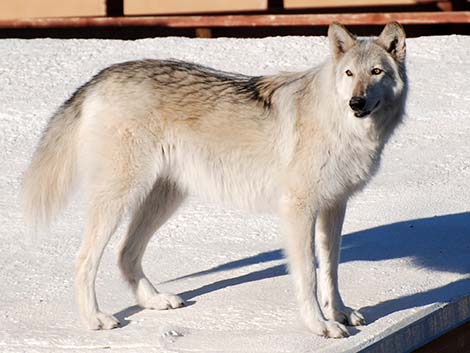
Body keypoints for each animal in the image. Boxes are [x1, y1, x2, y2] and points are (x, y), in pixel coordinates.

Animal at [23, 21, 408, 336]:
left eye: (376, 72)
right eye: (349, 73)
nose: (356, 103)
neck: (339, 124)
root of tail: (102, 76)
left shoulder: (334, 206)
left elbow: (330, 269)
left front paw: (339, 313)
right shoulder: (298, 210)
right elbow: (309, 275)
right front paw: (320, 326)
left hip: (164, 199)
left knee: (125, 253)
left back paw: (154, 300)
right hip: (120, 198)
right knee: (85, 260)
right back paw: (95, 319)